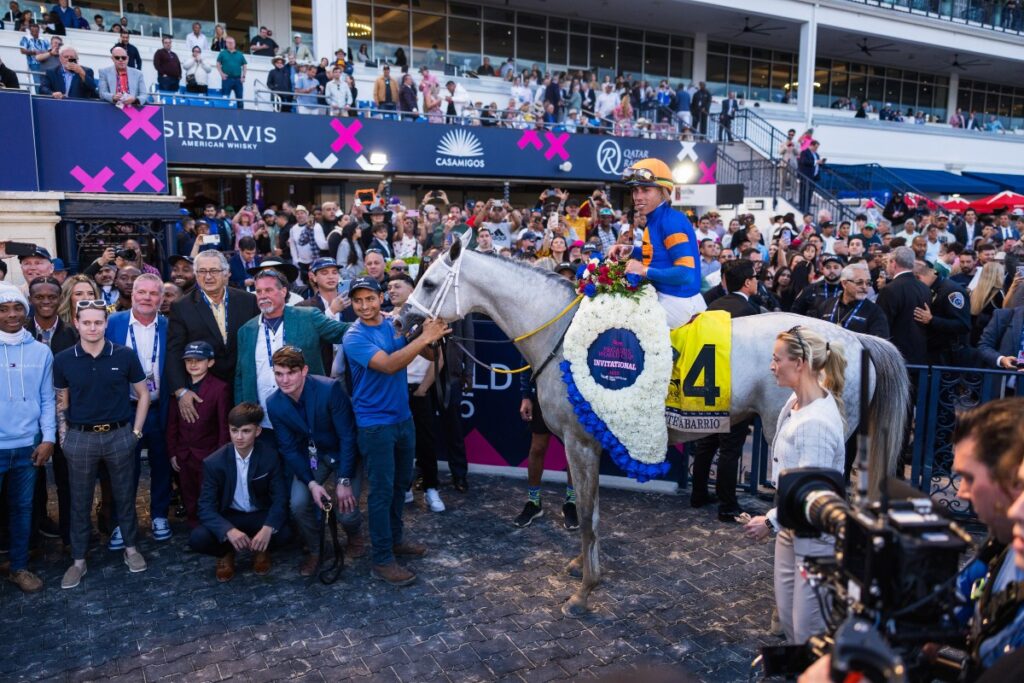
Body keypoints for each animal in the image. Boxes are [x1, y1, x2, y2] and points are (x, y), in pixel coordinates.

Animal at [399, 233, 913, 614]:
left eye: (429, 283)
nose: (403, 322)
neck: (562, 335)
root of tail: (851, 337)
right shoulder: (584, 440)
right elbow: (592, 514)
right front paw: (583, 569)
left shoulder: (581, 442)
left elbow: (587, 516)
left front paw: (584, 591)